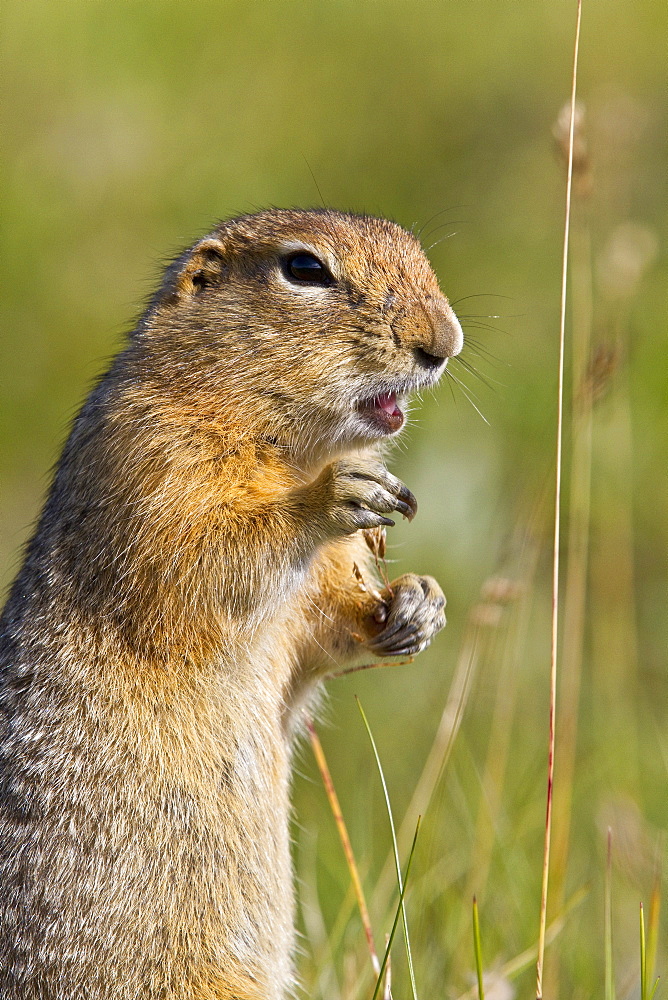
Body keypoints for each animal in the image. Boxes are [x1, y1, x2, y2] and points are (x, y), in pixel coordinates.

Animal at [0, 207, 464, 996]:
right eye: (305, 269)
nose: (443, 341)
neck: (294, 445)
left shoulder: (323, 577)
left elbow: (320, 626)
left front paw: (414, 605)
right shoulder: (152, 459)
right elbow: (202, 558)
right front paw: (334, 497)